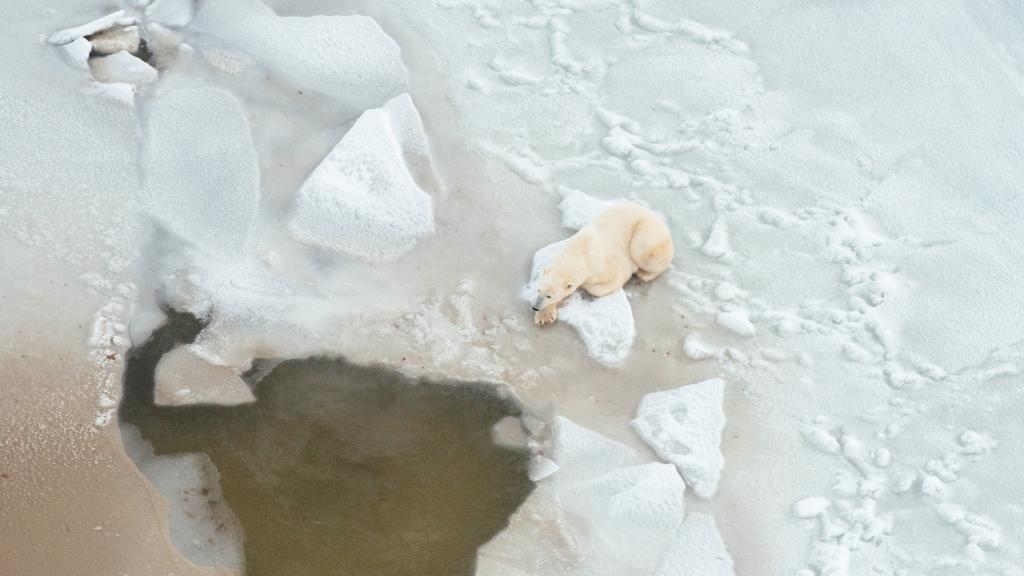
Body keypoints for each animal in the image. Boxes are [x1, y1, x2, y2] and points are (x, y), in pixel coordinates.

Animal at [531, 202, 674, 326]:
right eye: (538, 290)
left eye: (549, 296)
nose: (535, 307)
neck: (582, 250)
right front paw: (544, 316)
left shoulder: (606, 266)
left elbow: (605, 284)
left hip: (647, 232)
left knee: (644, 253)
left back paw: (645, 274)